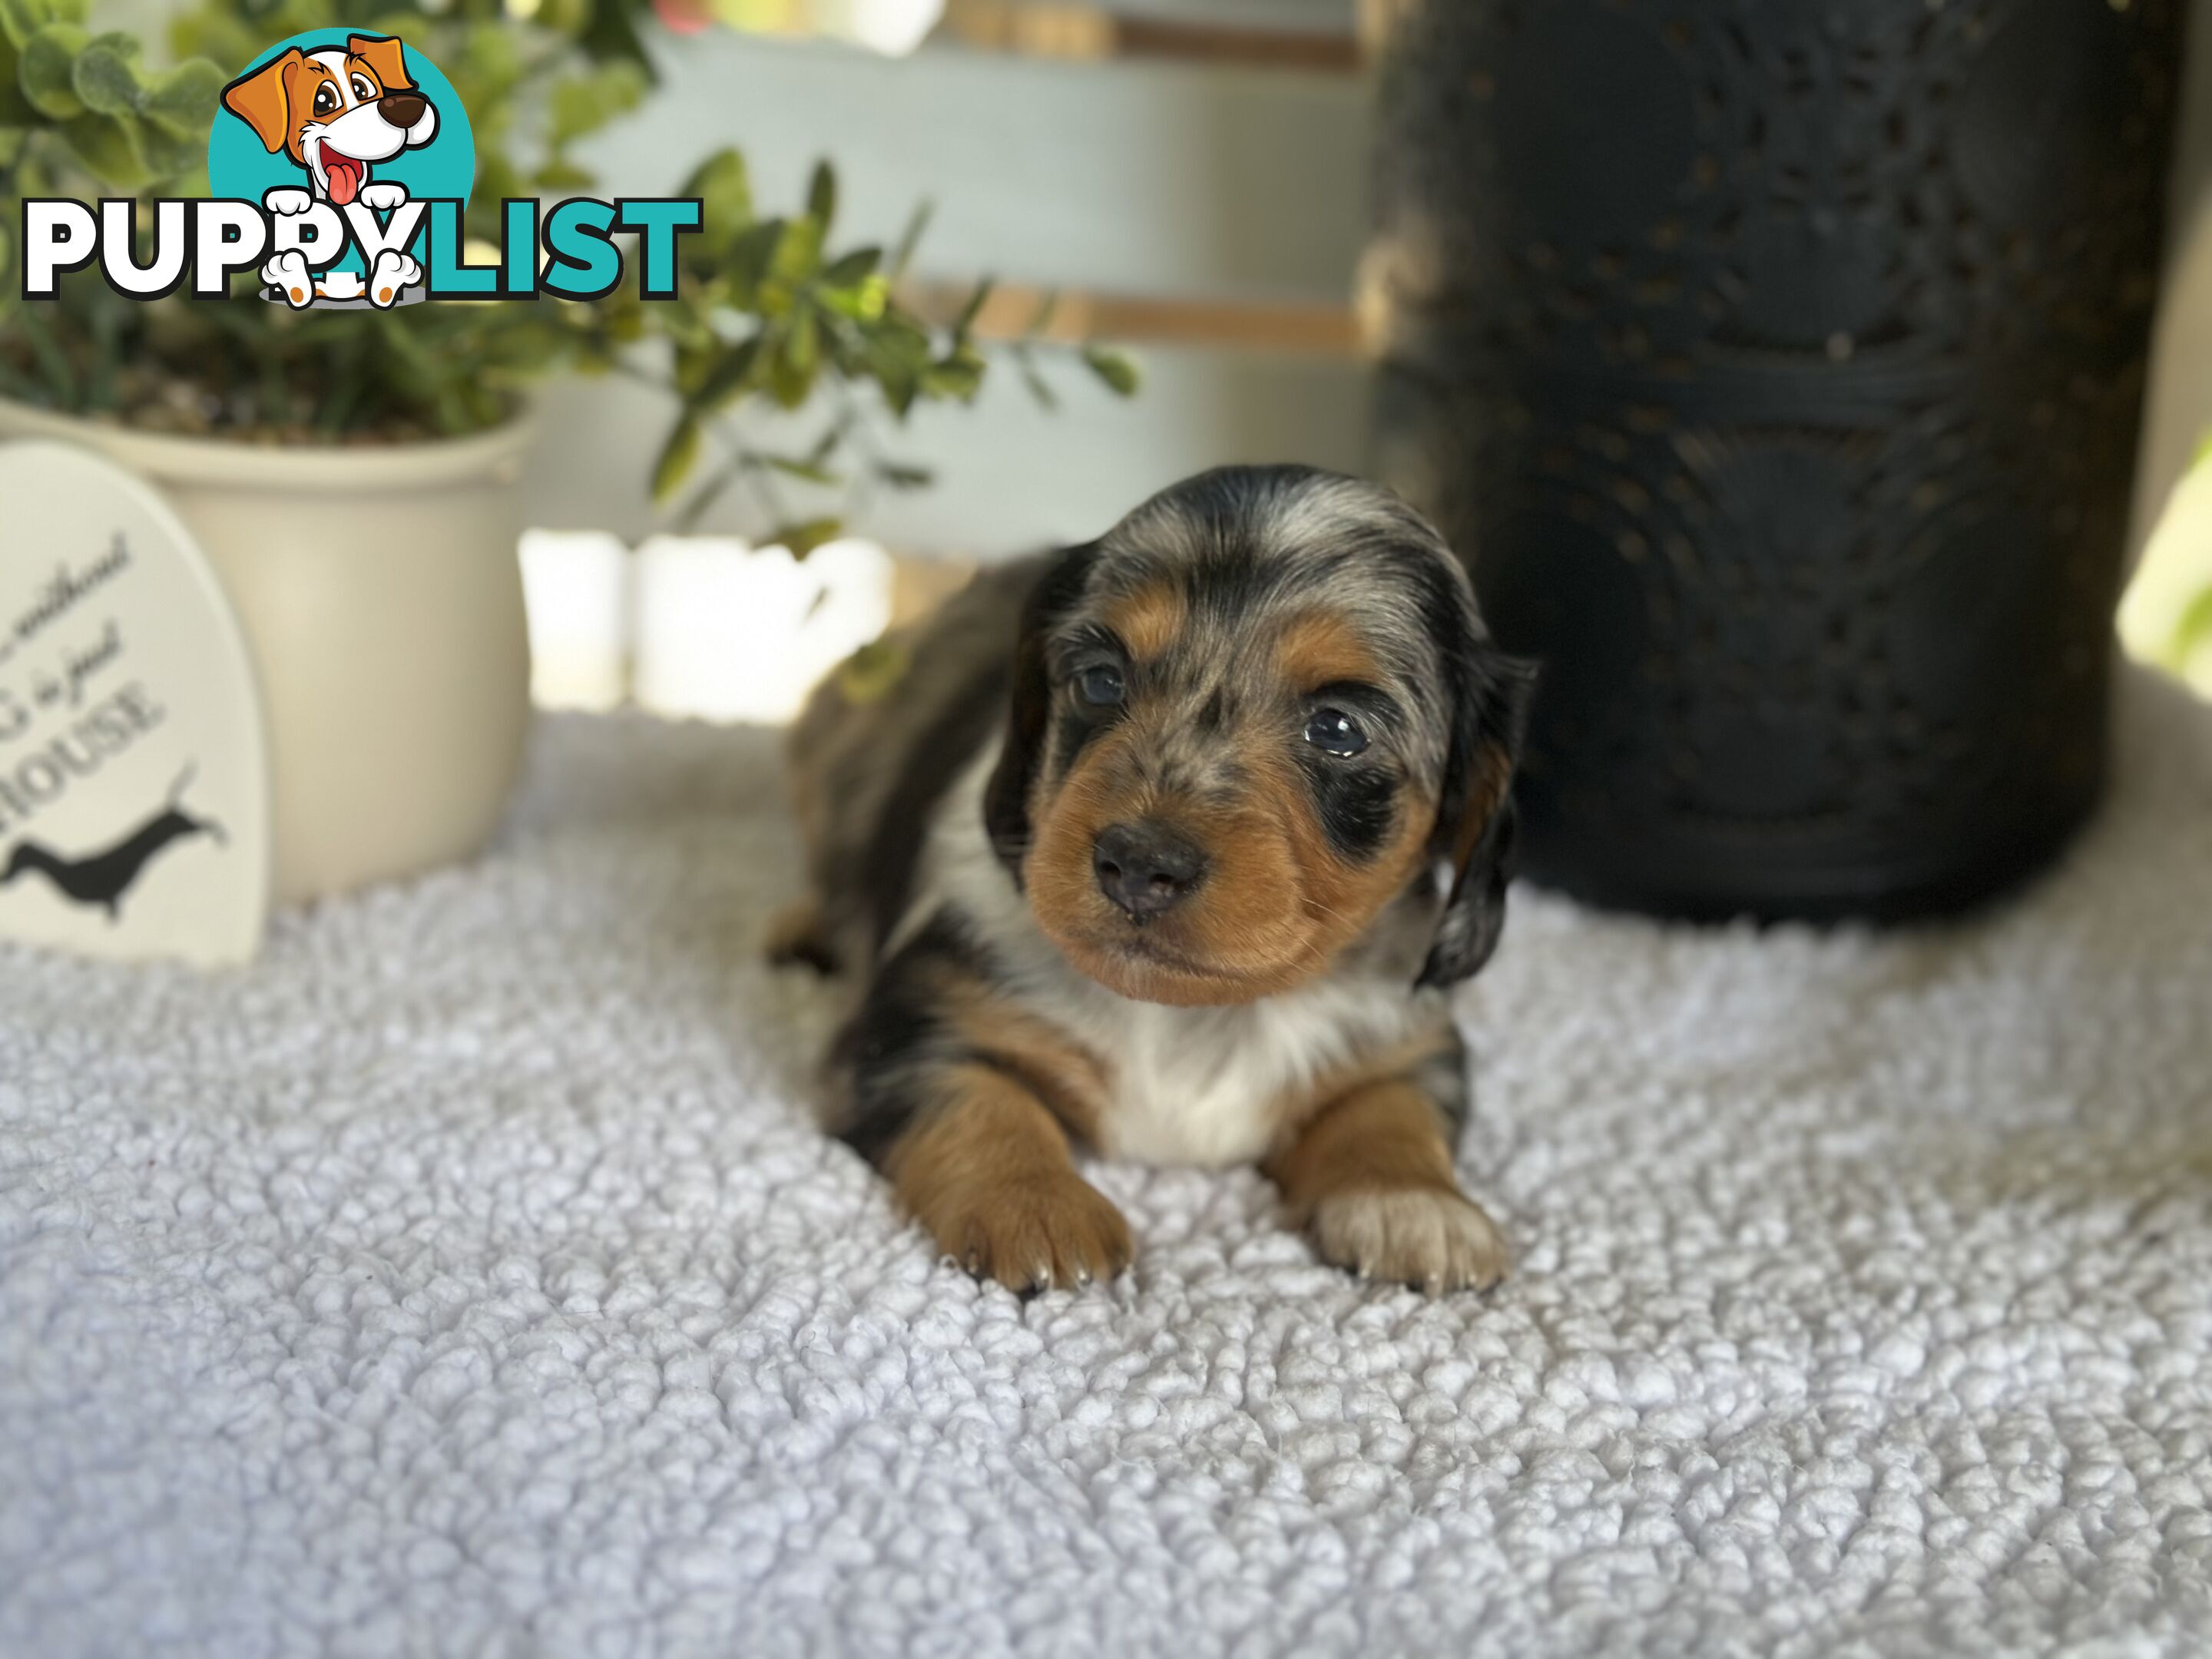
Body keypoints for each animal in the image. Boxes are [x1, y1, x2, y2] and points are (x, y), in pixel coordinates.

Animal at [783, 469, 1539, 1300]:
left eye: (1339, 730)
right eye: (1101, 681)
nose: (1139, 865)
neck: (1196, 1018)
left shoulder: (1409, 1040)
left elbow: (1391, 1110)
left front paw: (1417, 1206)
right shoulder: (918, 1019)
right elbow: (981, 1100)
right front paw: (1035, 1206)